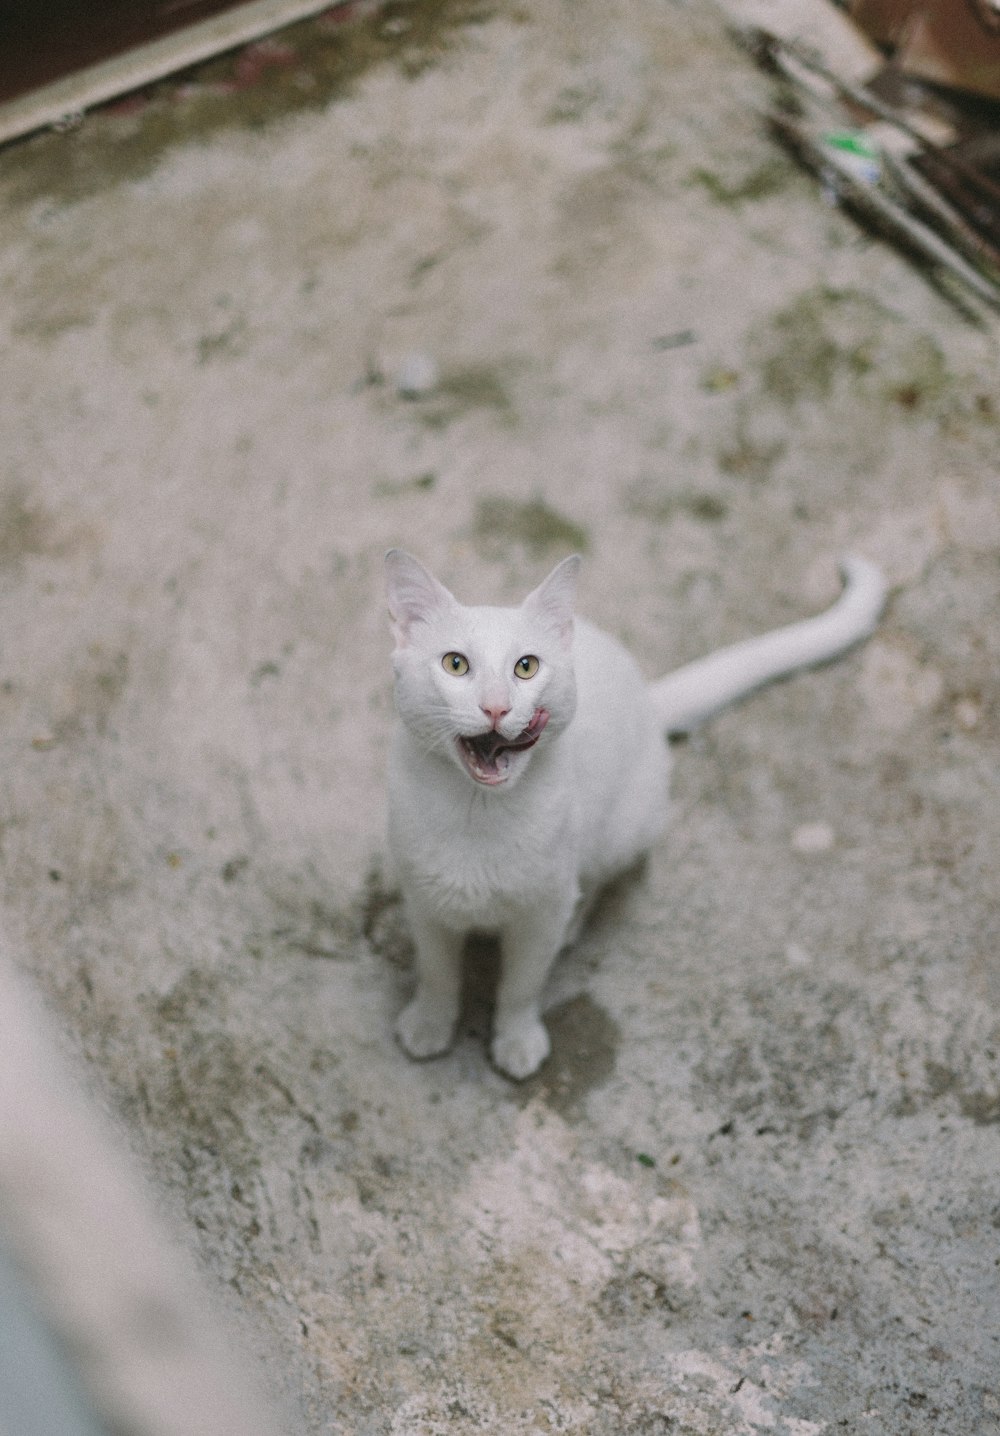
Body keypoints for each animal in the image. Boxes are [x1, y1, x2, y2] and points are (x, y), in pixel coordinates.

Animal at [382, 548, 885, 1079]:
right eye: (455, 664)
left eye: (526, 667)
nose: (496, 708)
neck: (478, 812)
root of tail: (647, 697)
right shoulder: (425, 905)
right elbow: (437, 973)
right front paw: (429, 1023)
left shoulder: (539, 914)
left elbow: (521, 986)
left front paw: (517, 1038)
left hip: (620, 830)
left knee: (597, 880)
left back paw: (574, 923)